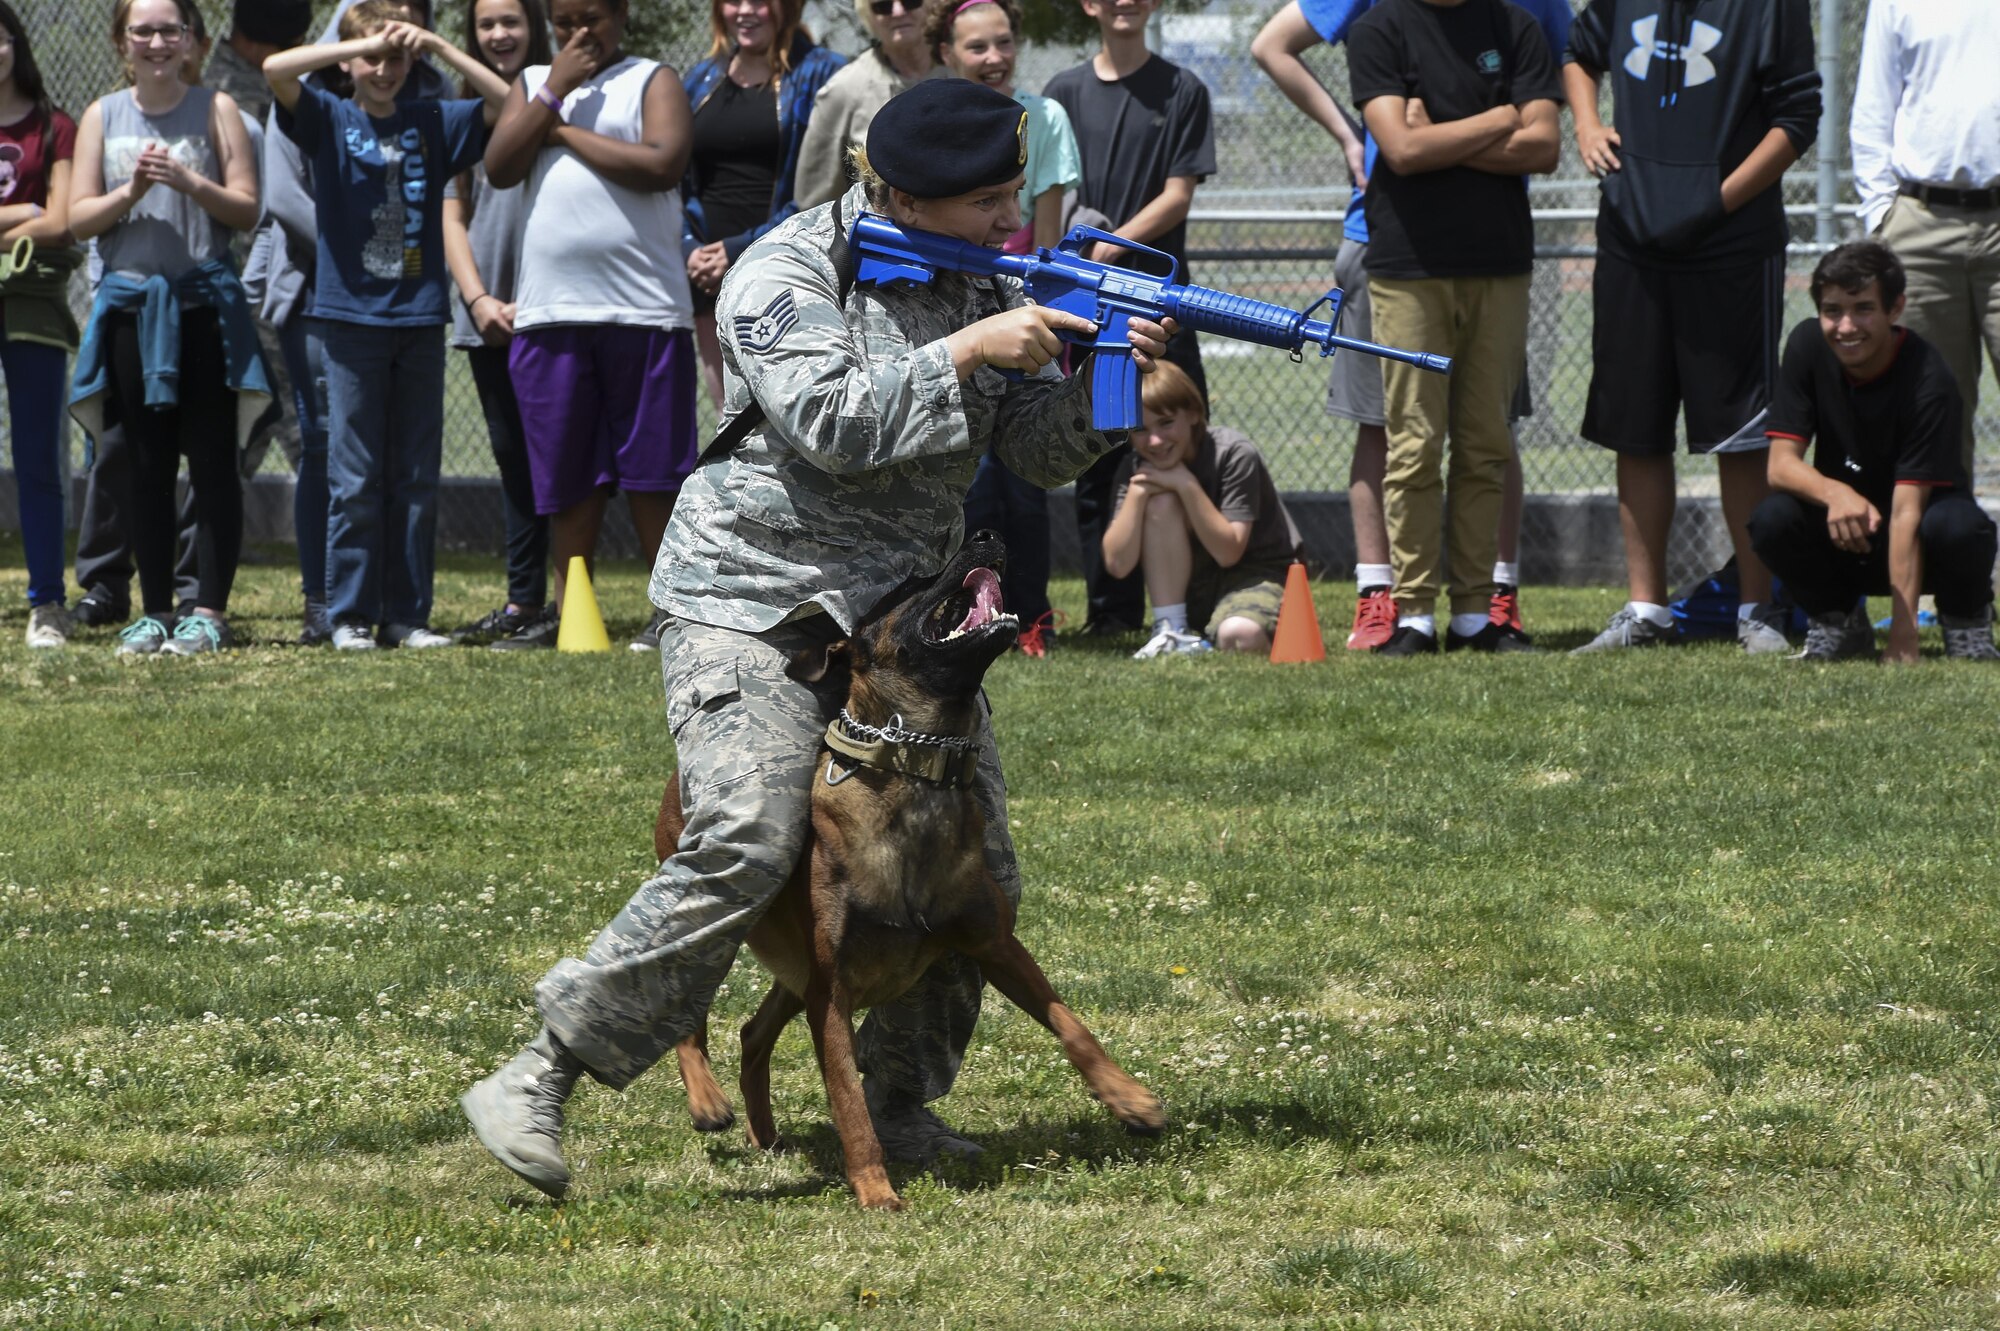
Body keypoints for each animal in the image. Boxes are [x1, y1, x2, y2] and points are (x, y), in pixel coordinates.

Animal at [656, 535, 1168, 1207]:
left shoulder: (994, 945)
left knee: (752, 1032)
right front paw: (876, 1190)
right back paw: (707, 1100)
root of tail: (677, 784)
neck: (915, 772)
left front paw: (1131, 1099)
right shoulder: (832, 995)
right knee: (684, 1005)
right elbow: (850, 1102)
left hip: (796, 978)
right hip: (719, 919)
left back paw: (764, 1132)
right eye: (911, 583)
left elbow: (1071, 1026)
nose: (987, 537)